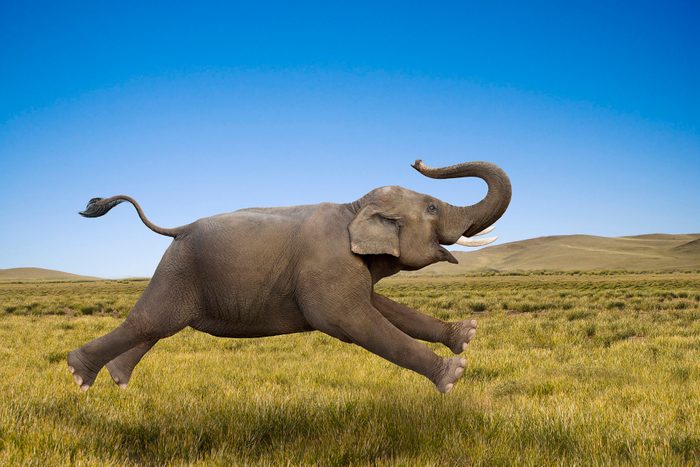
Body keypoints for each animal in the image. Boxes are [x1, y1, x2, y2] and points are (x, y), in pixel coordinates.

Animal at [68, 159, 511, 393]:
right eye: (433, 208)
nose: (418, 161)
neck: (354, 208)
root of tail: (179, 228)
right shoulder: (326, 265)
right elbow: (353, 320)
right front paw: (455, 374)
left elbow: (378, 306)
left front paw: (466, 335)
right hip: (180, 268)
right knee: (149, 322)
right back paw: (79, 374)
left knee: (155, 327)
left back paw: (118, 380)